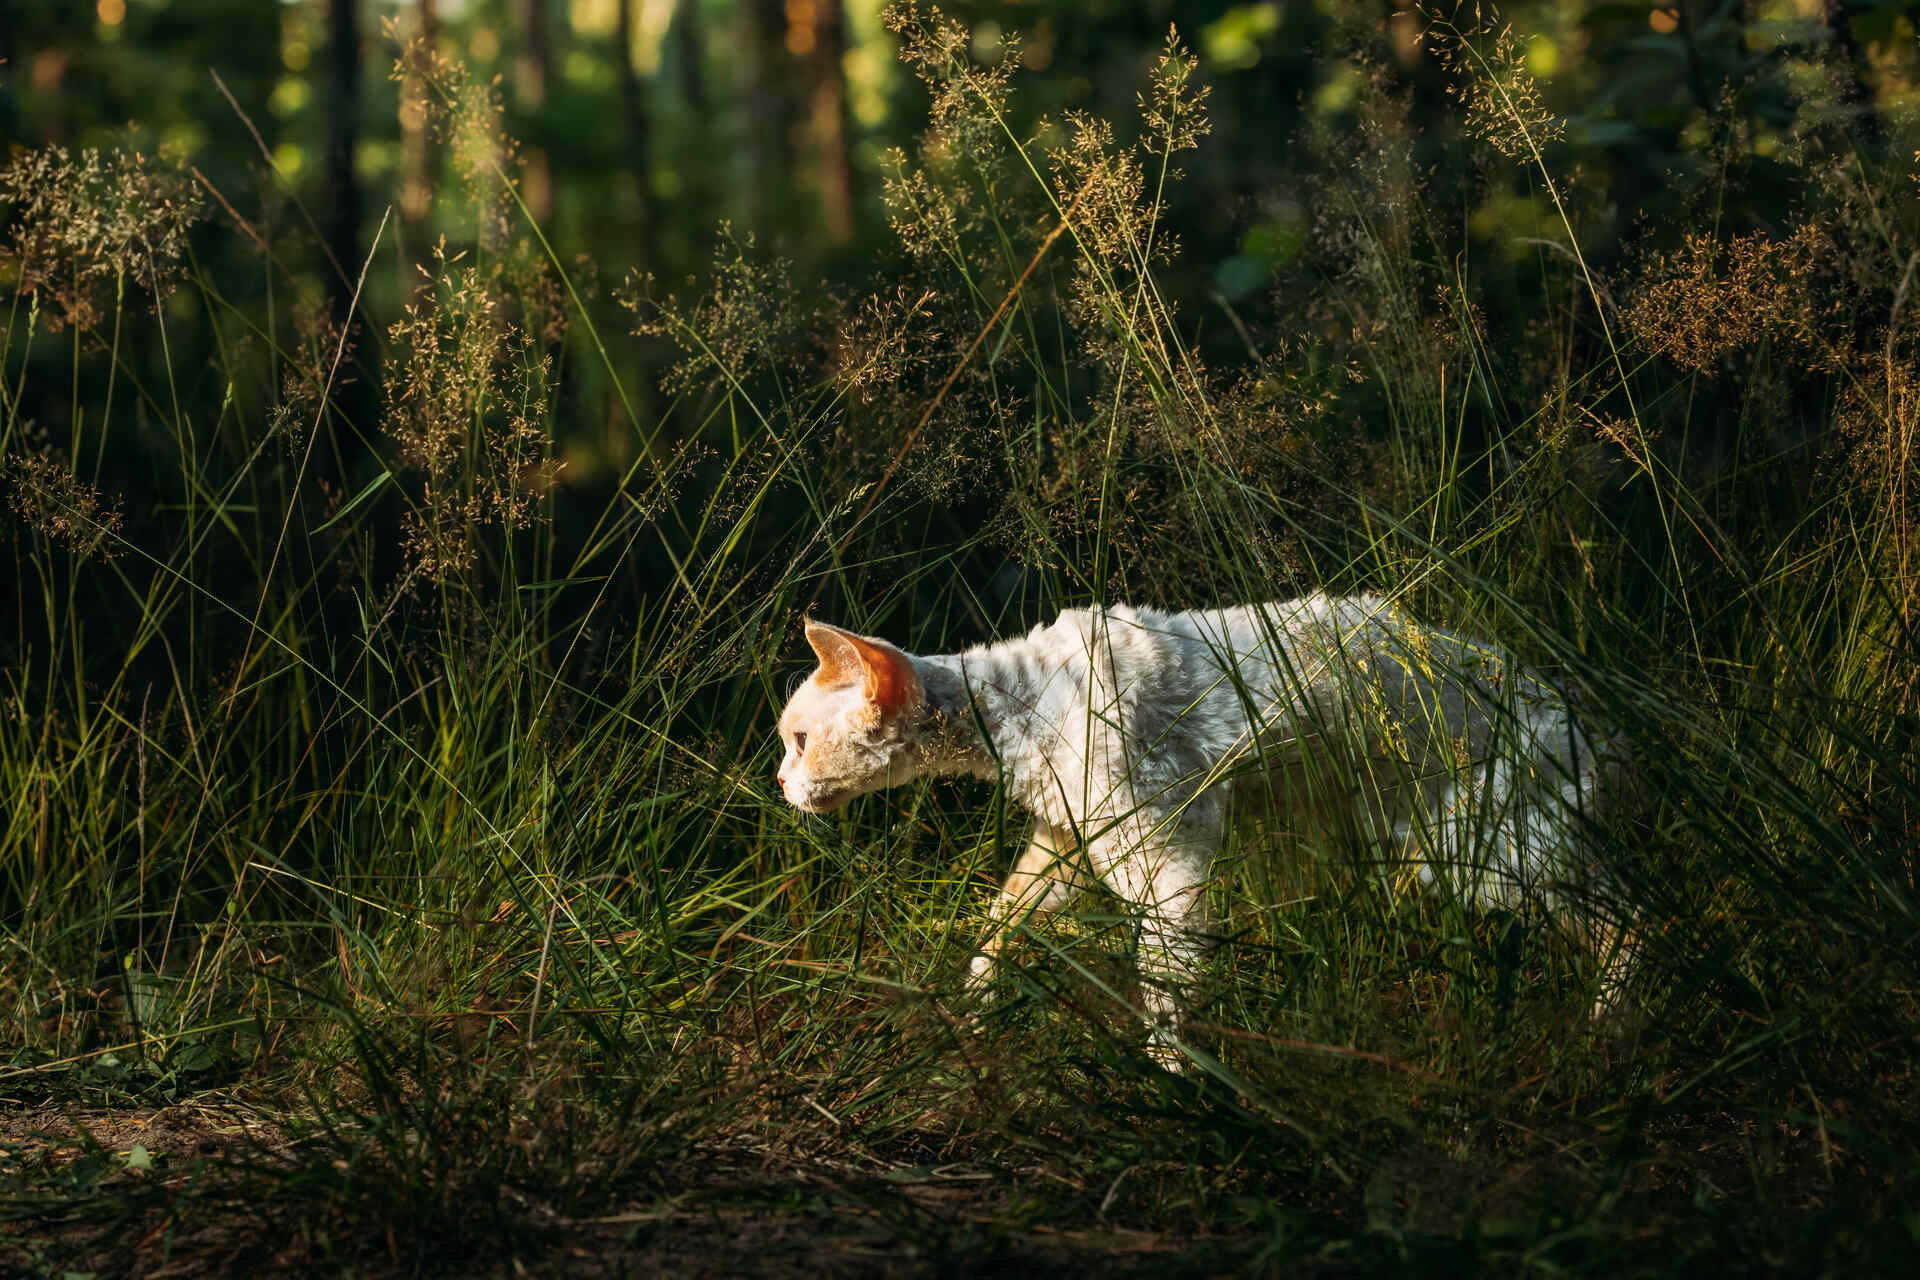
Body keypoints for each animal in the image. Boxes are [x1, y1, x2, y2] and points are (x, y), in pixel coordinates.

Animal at [771, 594, 1628, 1059]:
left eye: (800, 742)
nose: (778, 782)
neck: (1021, 704)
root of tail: (1571, 709)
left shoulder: (1169, 861)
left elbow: (1167, 985)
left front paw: (1169, 1083)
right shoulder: (1068, 844)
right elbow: (1001, 925)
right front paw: (974, 1013)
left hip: (1490, 849)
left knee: (1627, 921)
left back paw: (1612, 1031)